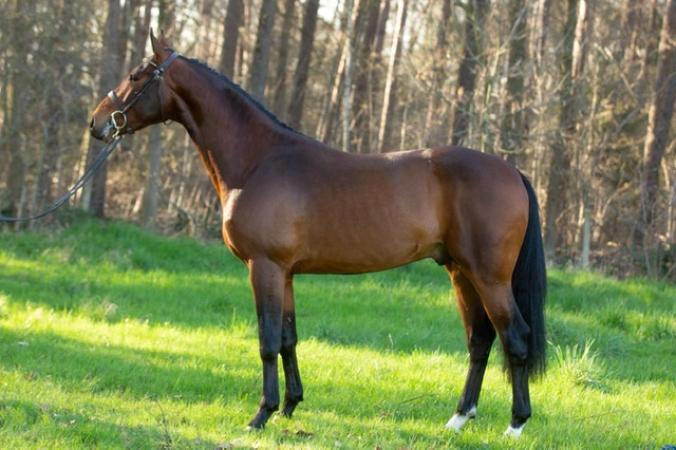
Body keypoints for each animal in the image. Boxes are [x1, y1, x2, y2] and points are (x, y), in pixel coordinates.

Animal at [89, 31, 546, 437]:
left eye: (135, 75)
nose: (96, 123)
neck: (259, 161)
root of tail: (512, 171)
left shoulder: (264, 267)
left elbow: (267, 340)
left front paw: (261, 414)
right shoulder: (286, 273)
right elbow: (288, 337)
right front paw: (290, 406)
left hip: (489, 277)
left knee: (515, 338)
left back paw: (515, 424)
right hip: (460, 272)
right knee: (480, 340)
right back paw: (458, 419)